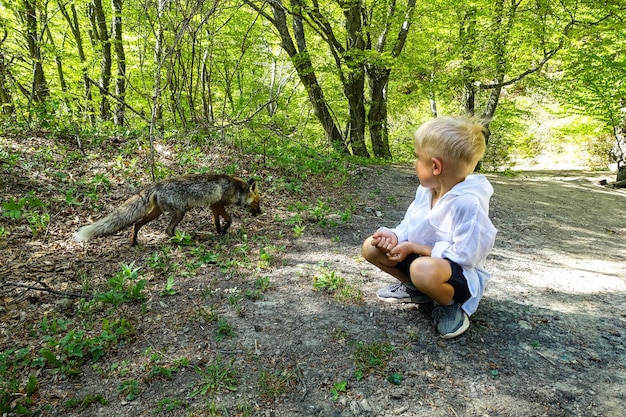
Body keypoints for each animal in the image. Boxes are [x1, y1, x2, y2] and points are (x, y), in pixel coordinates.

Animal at [73, 171, 258, 244]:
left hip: (157, 213)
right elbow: (229, 219)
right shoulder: (219, 205)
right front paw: (225, 230)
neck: (236, 188)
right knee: (168, 230)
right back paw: (182, 241)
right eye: (258, 203)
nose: (260, 212)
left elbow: (218, 222)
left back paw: (134, 242)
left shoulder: (214, 206)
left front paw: (220, 232)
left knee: (136, 224)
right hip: (179, 213)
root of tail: (157, 184)